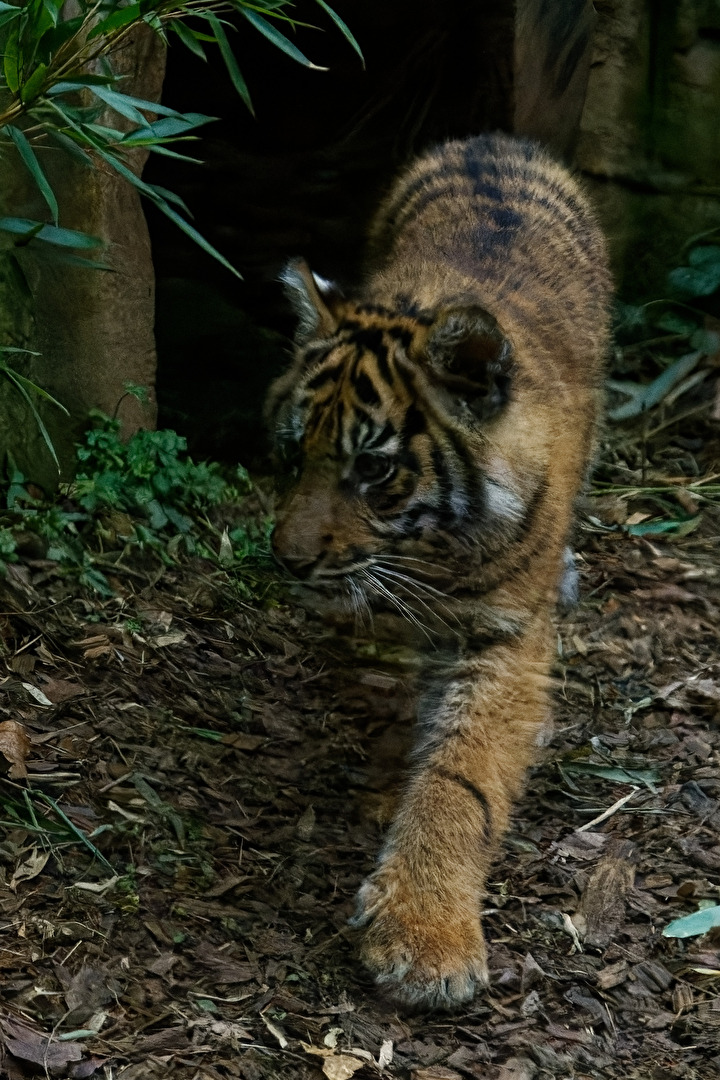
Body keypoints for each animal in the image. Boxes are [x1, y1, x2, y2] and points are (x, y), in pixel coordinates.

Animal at [265, 133, 611, 1010]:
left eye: (373, 469)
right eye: (292, 452)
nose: (287, 559)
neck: (433, 548)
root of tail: (498, 138)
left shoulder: (505, 634)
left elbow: (463, 776)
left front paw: (424, 938)